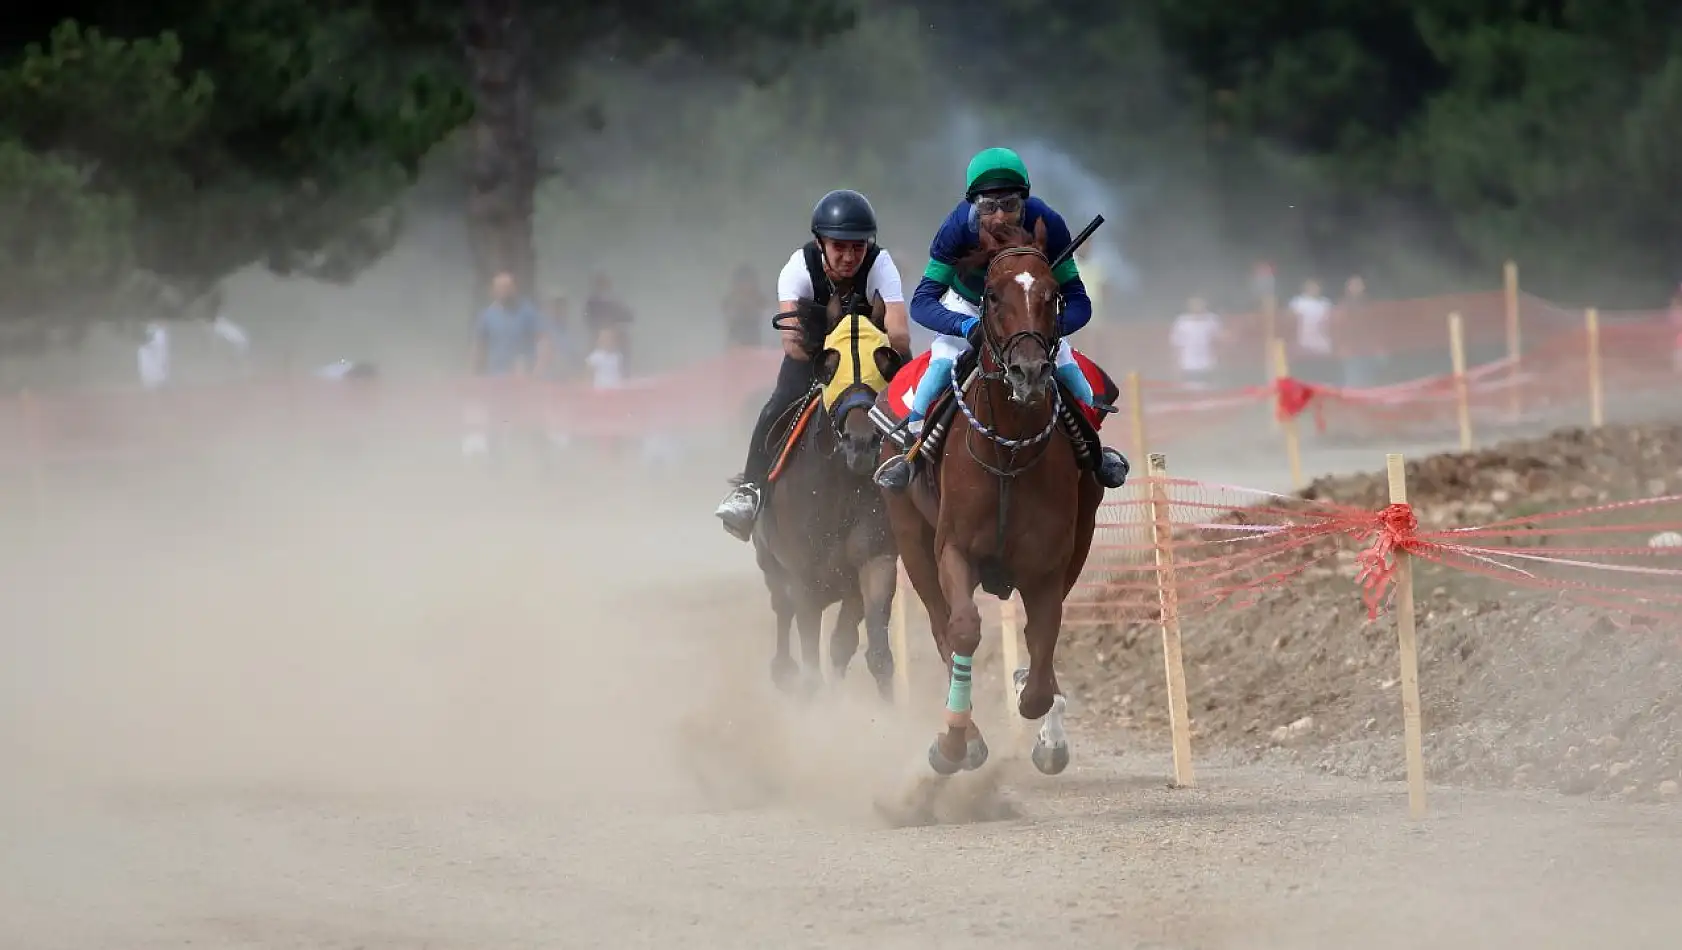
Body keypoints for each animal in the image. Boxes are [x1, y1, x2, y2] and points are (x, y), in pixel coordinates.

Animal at [753, 292, 908, 699]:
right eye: (828, 362)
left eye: (884, 359)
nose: (861, 443)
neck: (839, 490)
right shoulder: (804, 579)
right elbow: (811, 666)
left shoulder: (874, 562)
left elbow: (873, 653)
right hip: (770, 563)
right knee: (782, 610)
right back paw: (782, 670)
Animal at [881, 220, 1103, 776]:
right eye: (993, 295)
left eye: (1050, 295)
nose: (1029, 372)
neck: (1008, 452)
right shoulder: (952, 549)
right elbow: (961, 630)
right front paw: (954, 742)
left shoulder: (1051, 562)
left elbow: (1043, 648)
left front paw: (1042, 719)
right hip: (909, 538)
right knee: (939, 626)